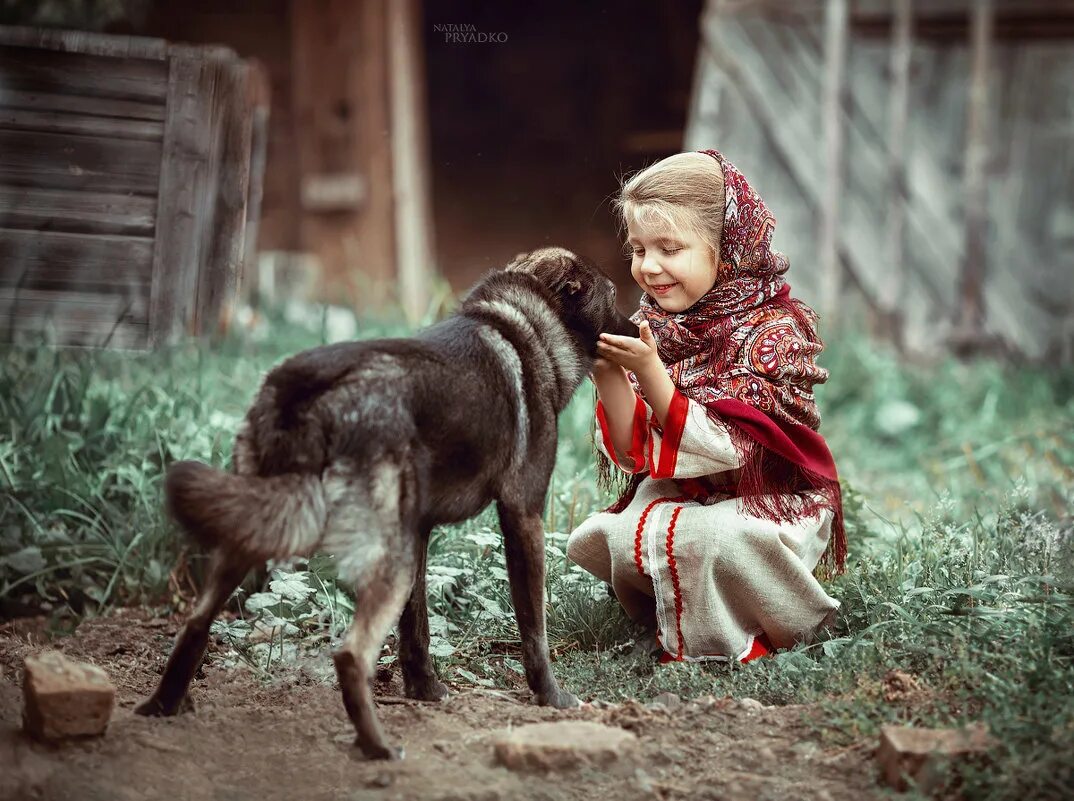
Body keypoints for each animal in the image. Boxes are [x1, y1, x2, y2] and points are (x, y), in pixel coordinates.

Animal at [134, 246, 635, 760]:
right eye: (614, 295)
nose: (639, 329)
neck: (525, 325)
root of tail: (309, 385)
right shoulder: (524, 515)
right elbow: (534, 629)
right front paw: (551, 697)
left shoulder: (419, 532)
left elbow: (416, 629)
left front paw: (424, 691)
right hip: (376, 559)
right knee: (350, 654)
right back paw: (377, 747)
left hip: (257, 528)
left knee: (196, 621)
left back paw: (163, 706)